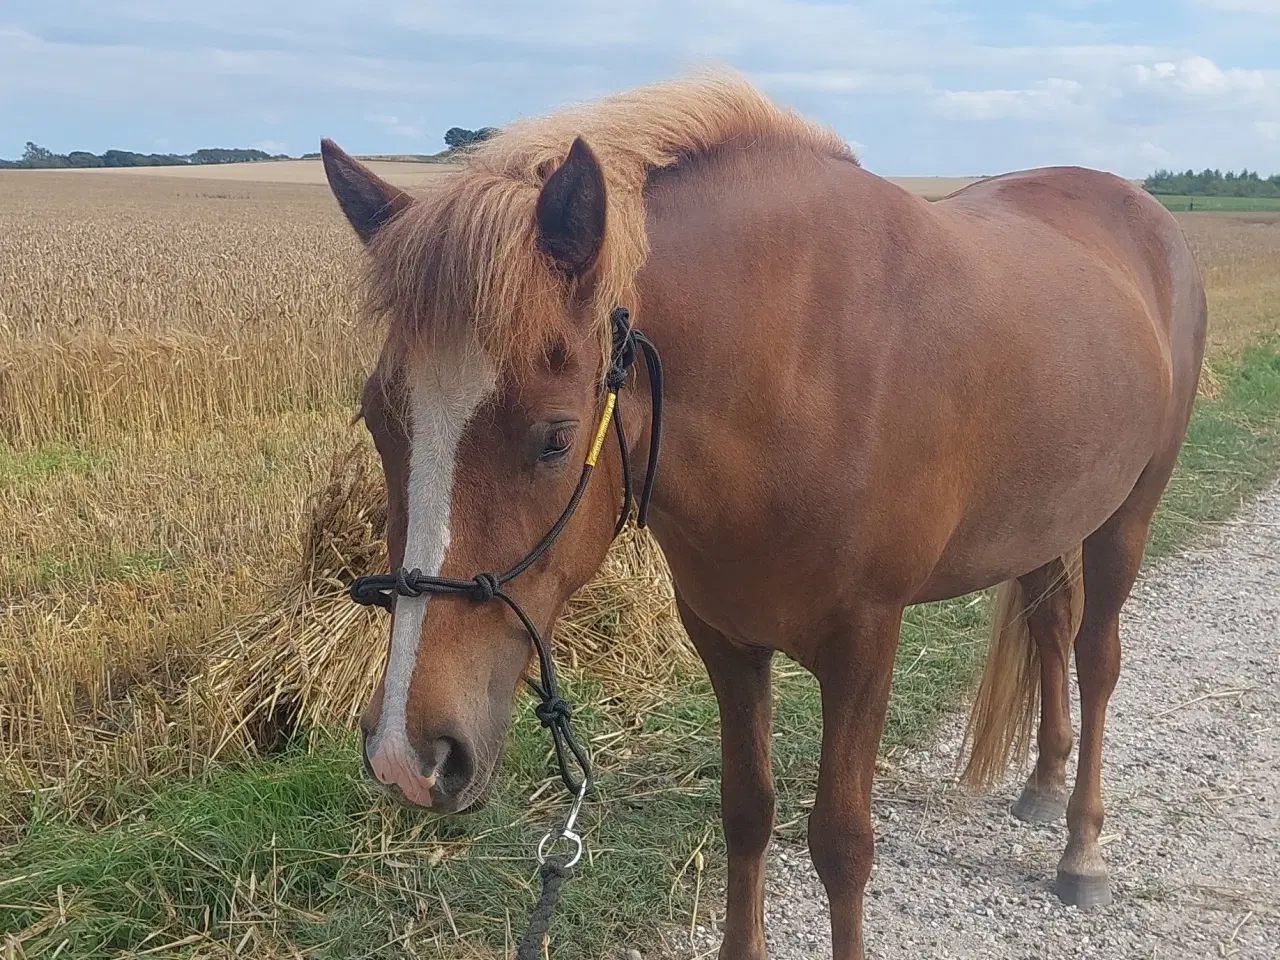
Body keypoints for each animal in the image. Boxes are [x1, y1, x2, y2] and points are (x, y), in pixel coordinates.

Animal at [314, 69, 1203, 960]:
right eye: (376, 420)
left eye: (556, 437)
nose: (405, 753)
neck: (798, 370)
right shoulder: (727, 640)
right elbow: (747, 812)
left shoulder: (864, 647)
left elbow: (842, 846)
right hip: (1048, 521)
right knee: (1052, 627)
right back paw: (1045, 784)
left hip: (1126, 517)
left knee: (1096, 656)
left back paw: (1082, 848)